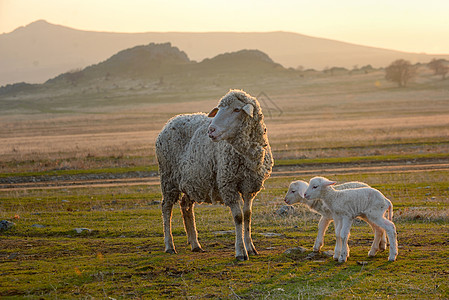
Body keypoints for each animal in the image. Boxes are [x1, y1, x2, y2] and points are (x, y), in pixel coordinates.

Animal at [154, 89, 272, 260]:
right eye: (219, 109)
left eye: (237, 109)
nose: (211, 130)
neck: (246, 155)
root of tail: (170, 121)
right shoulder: (228, 184)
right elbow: (238, 217)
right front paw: (240, 252)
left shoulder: (250, 186)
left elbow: (247, 215)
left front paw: (250, 248)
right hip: (168, 178)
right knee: (166, 207)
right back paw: (169, 245)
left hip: (192, 181)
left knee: (185, 206)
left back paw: (195, 244)